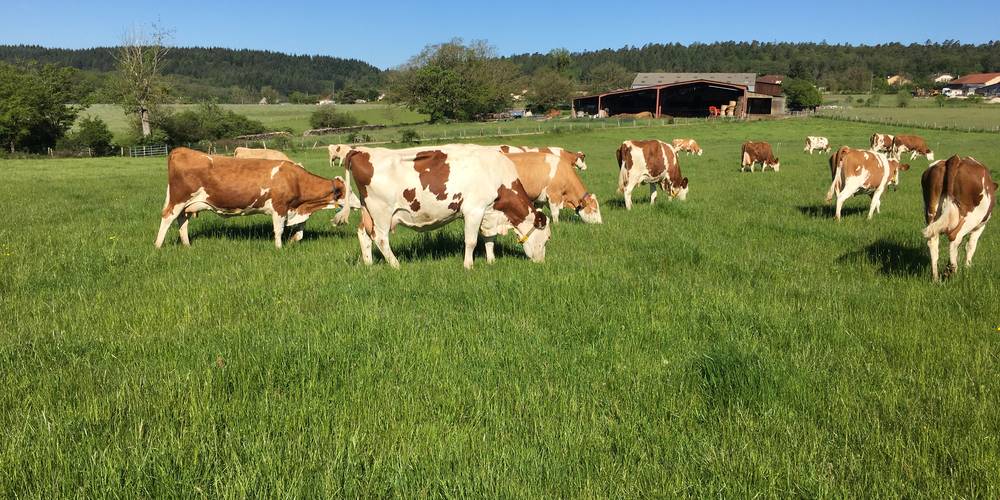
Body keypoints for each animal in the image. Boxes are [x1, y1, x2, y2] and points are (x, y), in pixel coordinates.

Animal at [154, 148, 349, 249]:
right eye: (349, 192)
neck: (294, 178)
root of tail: (181, 150)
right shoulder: (279, 207)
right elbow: (279, 230)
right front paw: (279, 248)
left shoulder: (294, 208)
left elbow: (299, 229)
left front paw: (294, 239)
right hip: (178, 200)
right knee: (167, 218)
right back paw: (158, 245)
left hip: (188, 205)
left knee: (182, 221)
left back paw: (187, 245)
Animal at [341, 147, 551, 269]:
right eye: (547, 238)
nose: (541, 261)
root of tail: (361, 151)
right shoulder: (474, 210)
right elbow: (471, 241)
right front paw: (468, 265)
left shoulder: (488, 211)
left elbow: (489, 238)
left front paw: (491, 261)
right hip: (381, 211)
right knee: (380, 238)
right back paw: (395, 264)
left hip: (367, 210)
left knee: (363, 233)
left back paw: (368, 264)